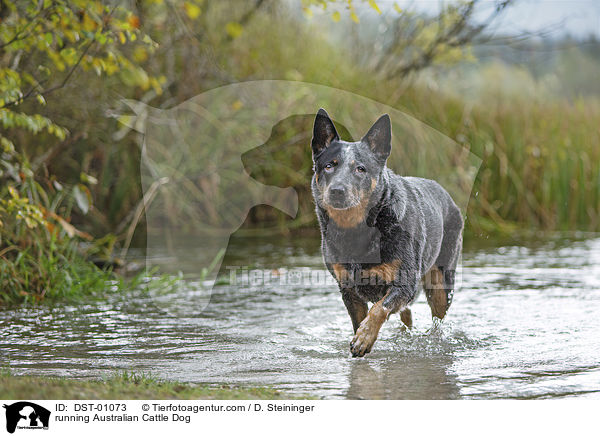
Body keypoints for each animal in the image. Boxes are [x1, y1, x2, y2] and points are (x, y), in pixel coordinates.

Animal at [312, 109, 462, 358]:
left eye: (360, 168)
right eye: (329, 166)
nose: (337, 190)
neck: (356, 232)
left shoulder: (404, 283)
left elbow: (379, 308)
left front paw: (364, 338)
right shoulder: (348, 289)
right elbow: (361, 318)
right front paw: (361, 337)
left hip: (441, 282)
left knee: (437, 319)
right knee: (406, 315)